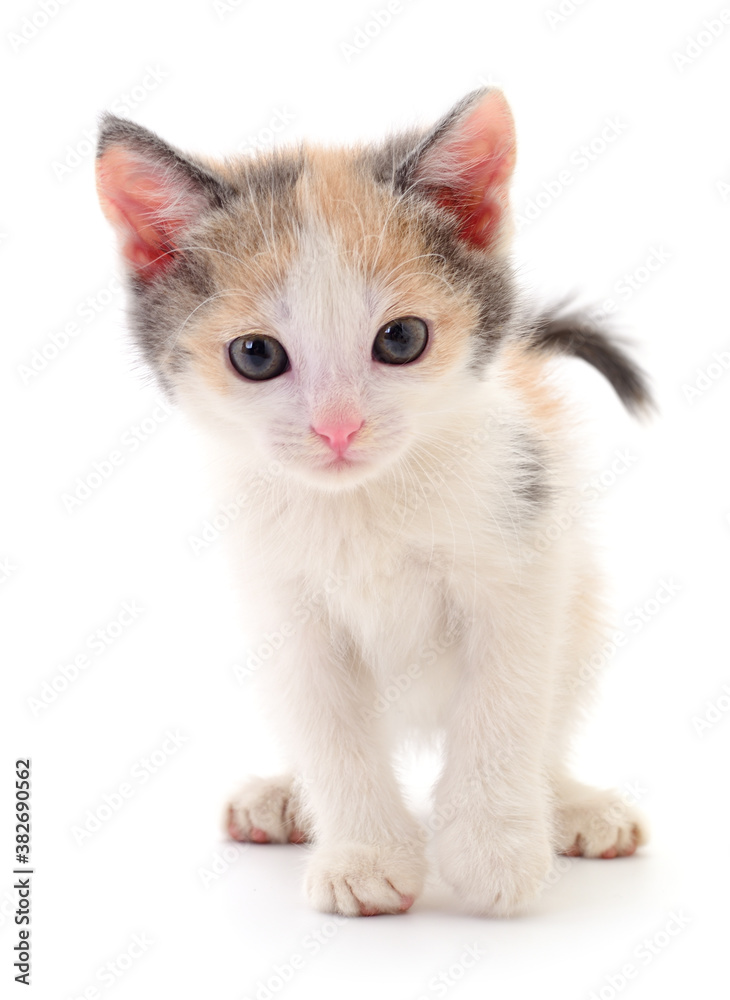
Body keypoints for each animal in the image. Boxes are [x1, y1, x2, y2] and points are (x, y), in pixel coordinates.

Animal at [95, 90, 648, 916]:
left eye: (401, 339)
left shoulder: (522, 554)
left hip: (578, 604)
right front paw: (365, 854)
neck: (362, 506)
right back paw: (285, 796)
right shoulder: (285, 605)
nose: (337, 428)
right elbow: (329, 728)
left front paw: (492, 847)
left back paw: (569, 804)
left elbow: (507, 703)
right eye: (255, 355)